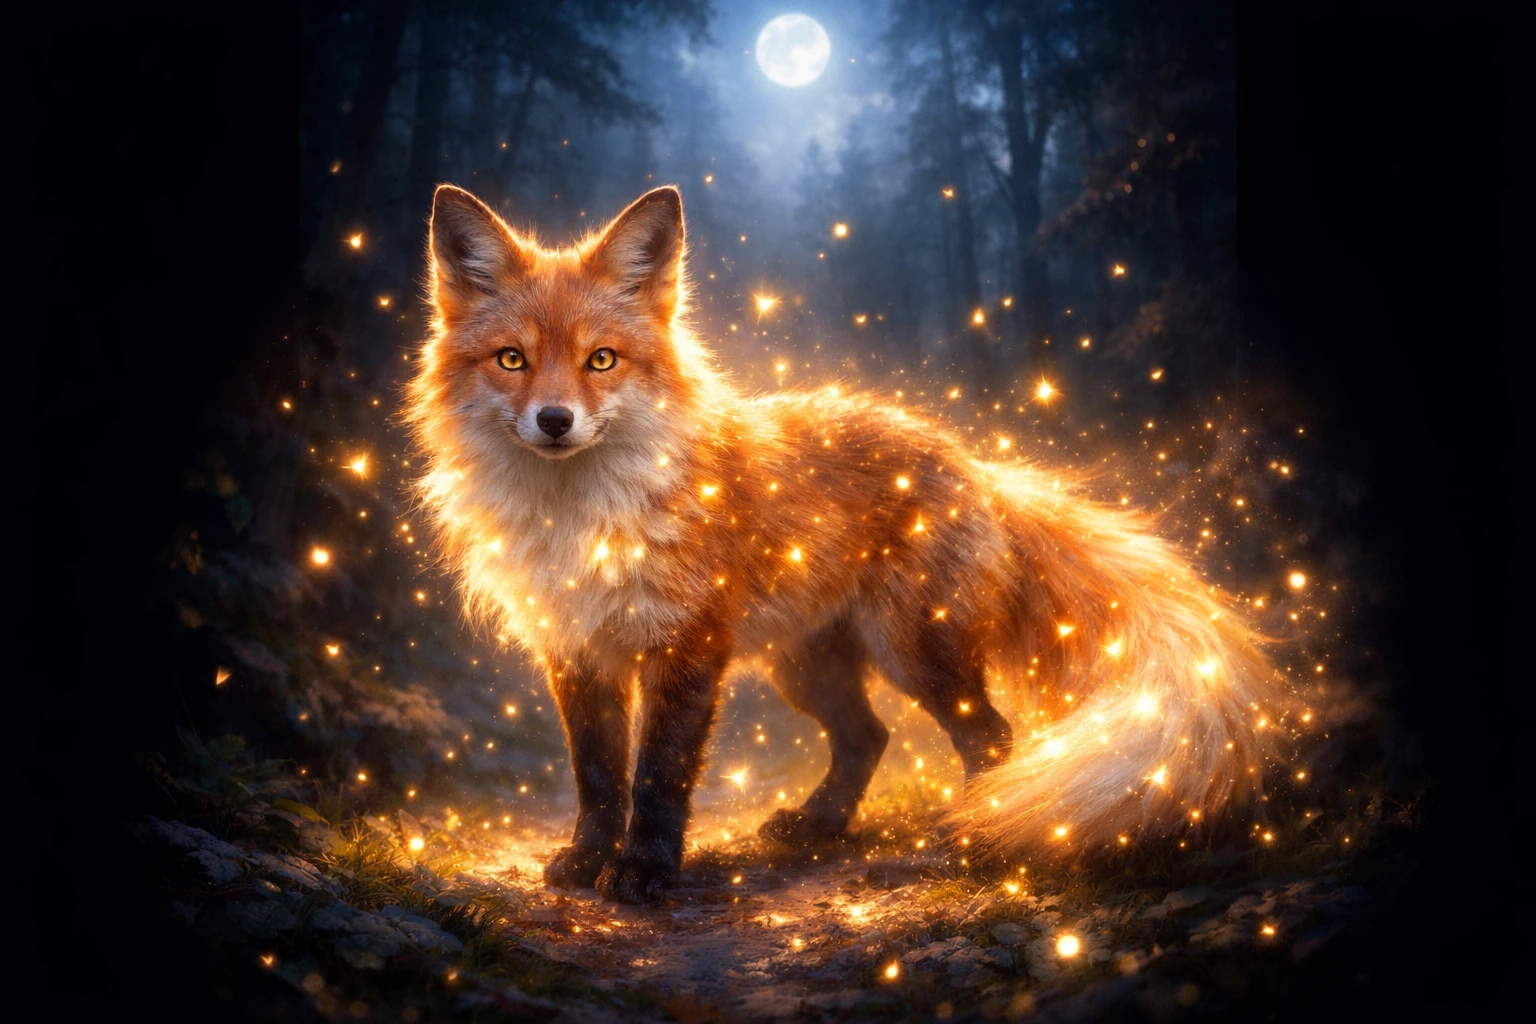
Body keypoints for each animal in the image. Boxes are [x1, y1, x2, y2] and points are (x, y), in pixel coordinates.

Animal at [406, 183, 1287, 903]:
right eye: (512, 359)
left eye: (601, 360)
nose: (555, 421)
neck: (582, 522)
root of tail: (970, 460)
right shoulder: (576, 650)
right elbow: (596, 777)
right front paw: (590, 860)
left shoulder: (686, 645)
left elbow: (658, 775)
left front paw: (646, 871)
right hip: (807, 668)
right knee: (869, 737)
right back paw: (818, 826)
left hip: (915, 653)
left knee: (990, 735)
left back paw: (974, 835)